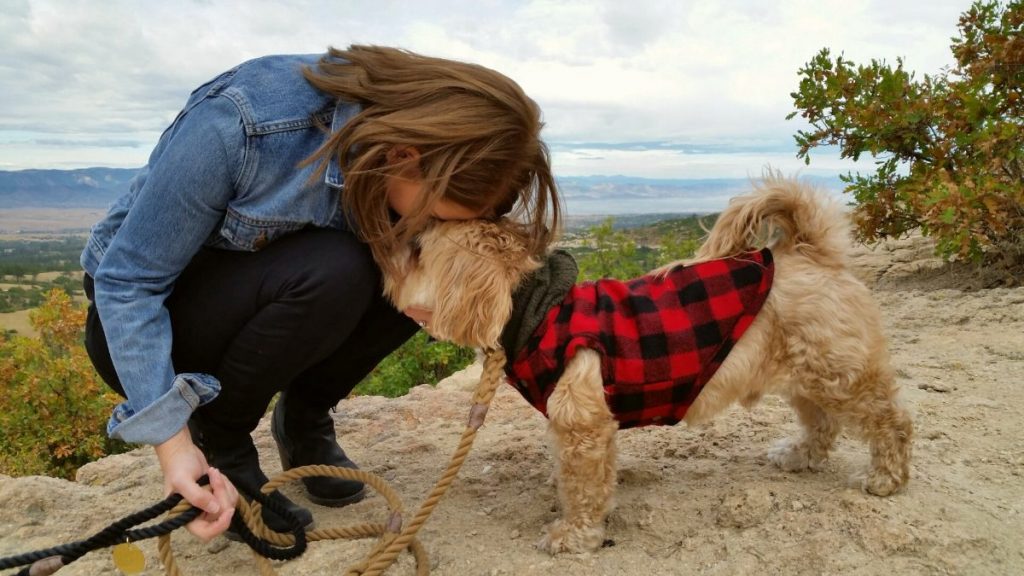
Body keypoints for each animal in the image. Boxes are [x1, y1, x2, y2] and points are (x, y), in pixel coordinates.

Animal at [382, 175, 913, 553]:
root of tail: (810, 250)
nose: (383, 244)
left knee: (890, 421)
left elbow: (584, 487)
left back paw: (886, 478)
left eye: (417, 248)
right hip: (806, 375)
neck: (534, 305)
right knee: (822, 424)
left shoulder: (584, 424)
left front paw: (573, 535)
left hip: (840, 374)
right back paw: (800, 455)